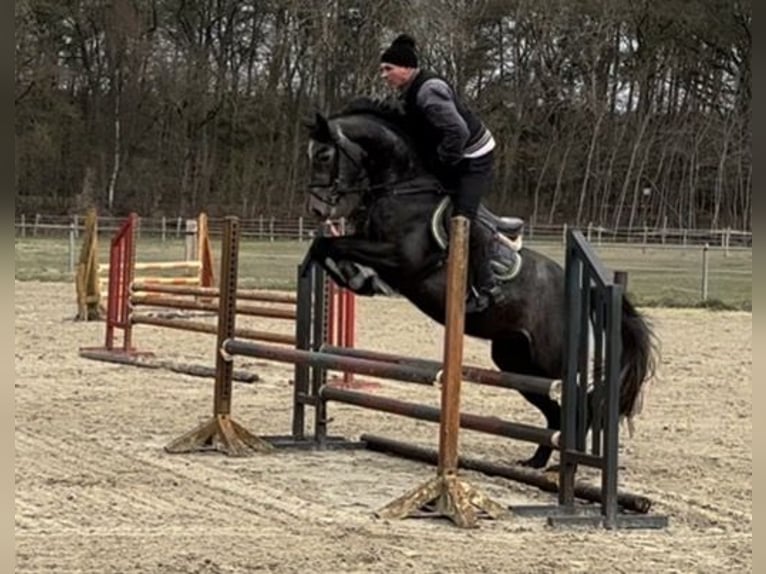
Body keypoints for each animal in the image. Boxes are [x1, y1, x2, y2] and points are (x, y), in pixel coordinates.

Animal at [303, 98, 658, 469]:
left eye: (324, 156)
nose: (316, 210)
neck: (403, 187)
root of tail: (581, 291)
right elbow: (325, 247)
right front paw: (354, 277)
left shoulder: (401, 259)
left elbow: (332, 245)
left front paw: (354, 274)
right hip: (516, 360)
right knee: (552, 412)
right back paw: (537, 461)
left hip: (551, 360)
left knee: (579, 406)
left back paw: (568, 462)